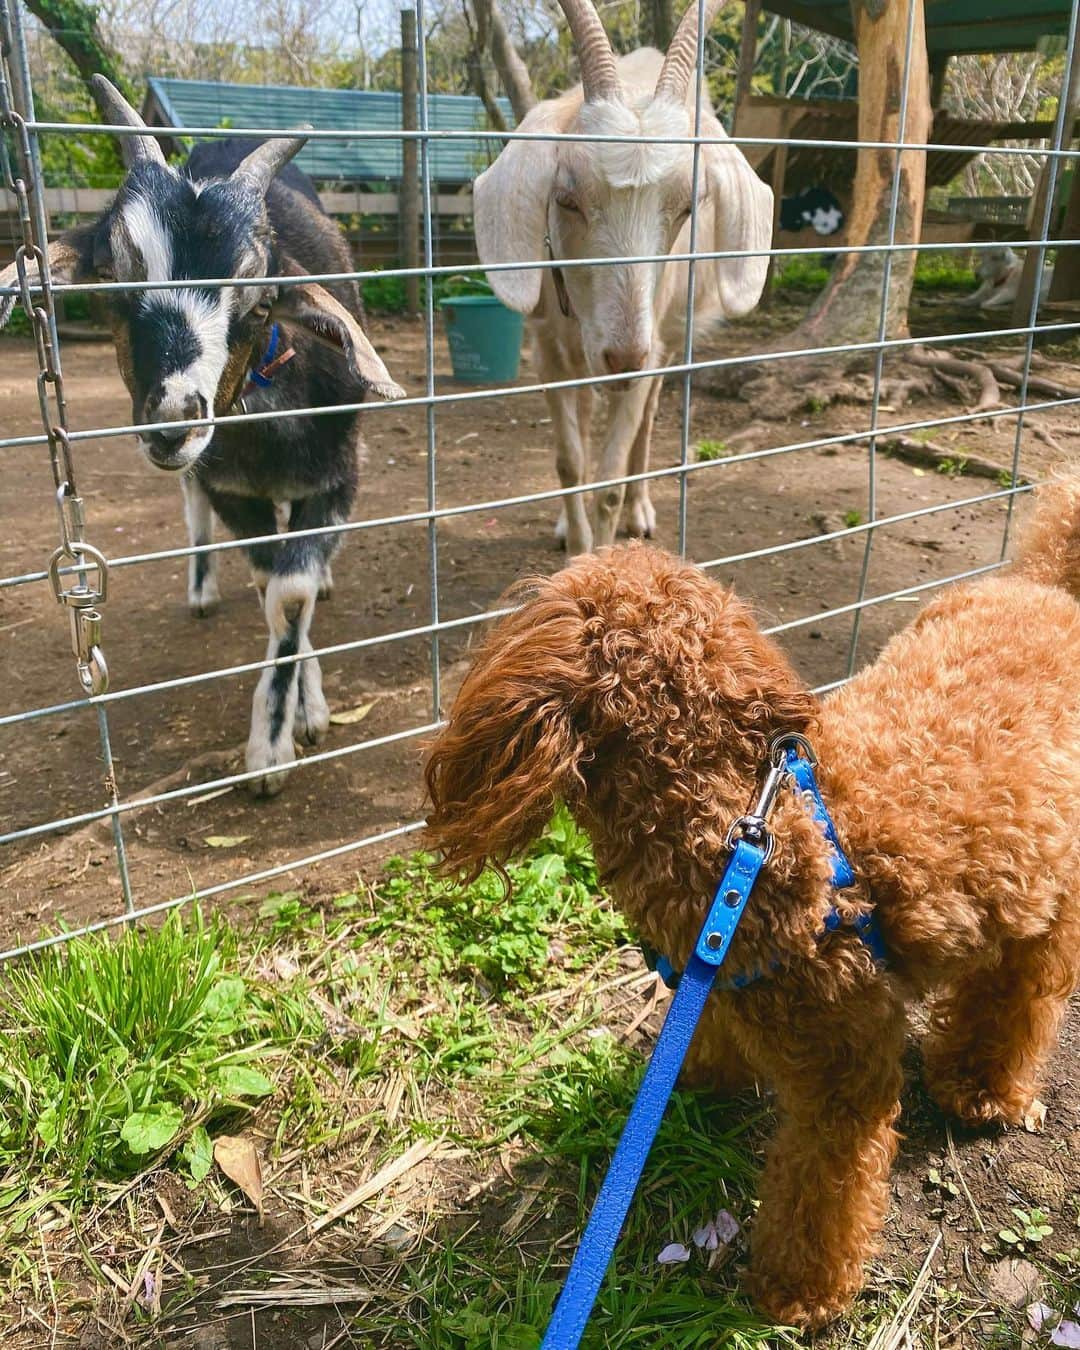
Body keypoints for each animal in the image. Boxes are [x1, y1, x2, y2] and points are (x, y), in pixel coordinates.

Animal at [1, 78, 405, 793]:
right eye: (111, 277)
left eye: (262, 297)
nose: (172, 422)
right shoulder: (231, 489)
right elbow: (272, 585)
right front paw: (285, 729)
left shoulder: (337, 477)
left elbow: (292, 596)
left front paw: (275, 742)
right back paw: (203, 588)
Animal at [477, 0, 772, 553]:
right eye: (566, 197)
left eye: (688, 207)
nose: (622, 359)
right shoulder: (546, 348)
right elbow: (569, 463)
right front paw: (575, 546)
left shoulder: (649, 347)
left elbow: (609, 480)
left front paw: (606, 549)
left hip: (669, 337)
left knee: (649, 416)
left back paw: (640, 511)